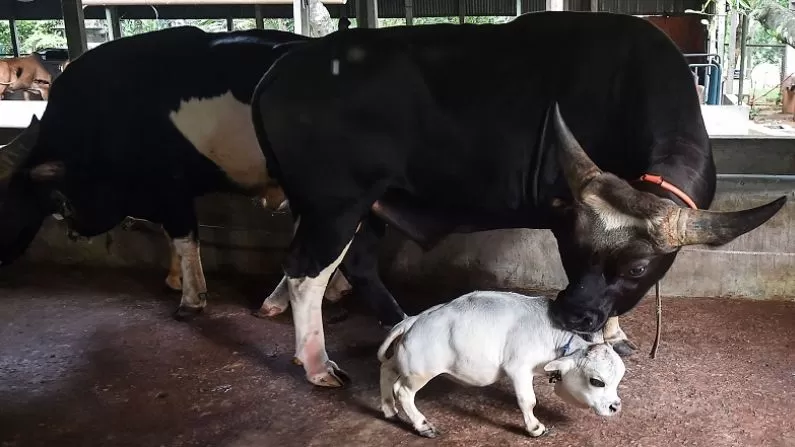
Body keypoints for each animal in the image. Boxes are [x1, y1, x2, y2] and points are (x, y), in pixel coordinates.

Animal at [249, 11, 787, 388]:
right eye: (572, 249)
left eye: (637, 267)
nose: (571, 316)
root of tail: (283, 66)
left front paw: (614, 332)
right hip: (335, 205)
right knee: (305, 272)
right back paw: (317, 363)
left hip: (370, 204)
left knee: (356, 264)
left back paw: (397, 321)